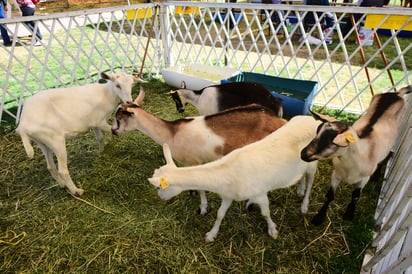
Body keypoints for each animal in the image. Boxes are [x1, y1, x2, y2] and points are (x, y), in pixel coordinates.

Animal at [111, 87, 288, 214]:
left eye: (119, 118)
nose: (113, 131)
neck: (172, 133)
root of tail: (278, 120)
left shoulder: (195, 161)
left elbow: (202, 187)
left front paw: (203, 208)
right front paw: (192, 193)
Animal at [149, 115, 322, 242]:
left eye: (158, 187)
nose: (160, 197)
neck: (228, 171)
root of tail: (312, 119)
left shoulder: (260, 193)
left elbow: (266, 213)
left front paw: (273, 230)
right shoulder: (228, 195)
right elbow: (220, 214)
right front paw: (211, 235)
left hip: (313, 162)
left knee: (311, 180)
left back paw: (304, 205)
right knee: (302, 176)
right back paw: (299, 190)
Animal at [300, 85, 412, 225]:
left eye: (331, 140)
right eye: (317, 132)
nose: (303, 154)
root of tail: (396, 94)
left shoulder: (364, 179)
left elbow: (355, 197)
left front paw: (349, 215)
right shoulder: (336, 174)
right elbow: (330, 196)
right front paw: (319, 217)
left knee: (386, 157)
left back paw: (376, 178)